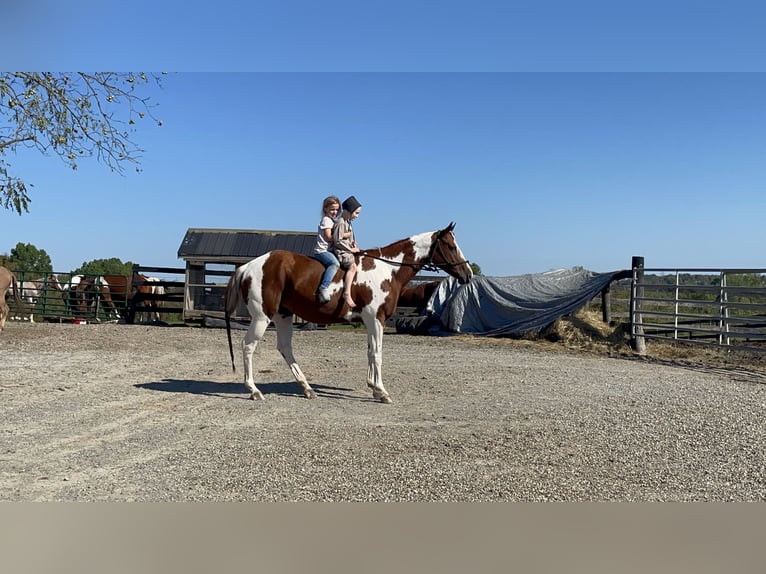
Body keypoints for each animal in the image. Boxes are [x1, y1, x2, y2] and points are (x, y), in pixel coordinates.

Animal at [222, 223, 474, 408]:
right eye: (451, 246)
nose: (468, 274)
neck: (388, 269)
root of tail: (246, 267)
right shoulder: (375, 318)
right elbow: (377, 354)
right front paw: (382, 392)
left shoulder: (370, 321)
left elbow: (371, 352)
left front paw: (374, 388)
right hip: (262, 317)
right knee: (248, 346)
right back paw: (254, 390)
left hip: (283, 316)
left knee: (285, 348)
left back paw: (307, 388)